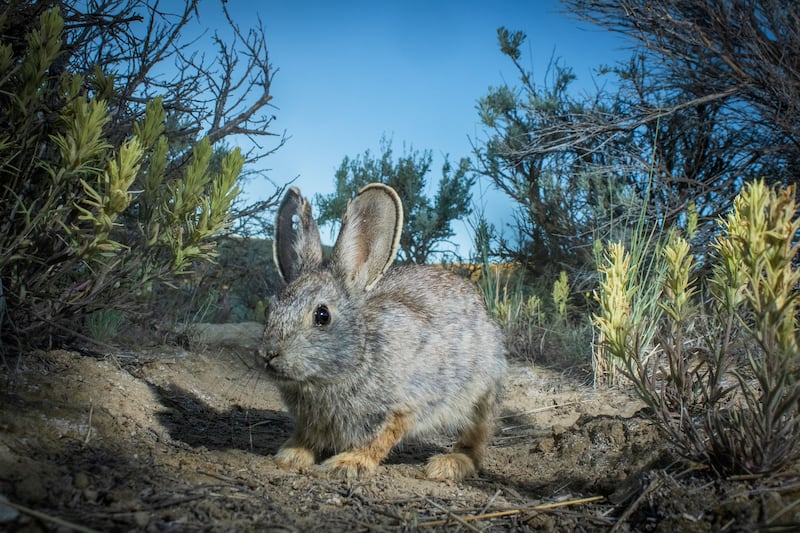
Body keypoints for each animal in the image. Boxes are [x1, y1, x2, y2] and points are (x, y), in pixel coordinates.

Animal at [257, 183, 507, 481]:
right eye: (269, 309)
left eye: (322, 315)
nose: (268, 354)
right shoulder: (311, 422)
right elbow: (306, 436)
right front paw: (291, 455)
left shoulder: (405, 406)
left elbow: (380, 439)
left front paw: (348, 463)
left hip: (481, 397)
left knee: (476, 443)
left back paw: (447, 464)